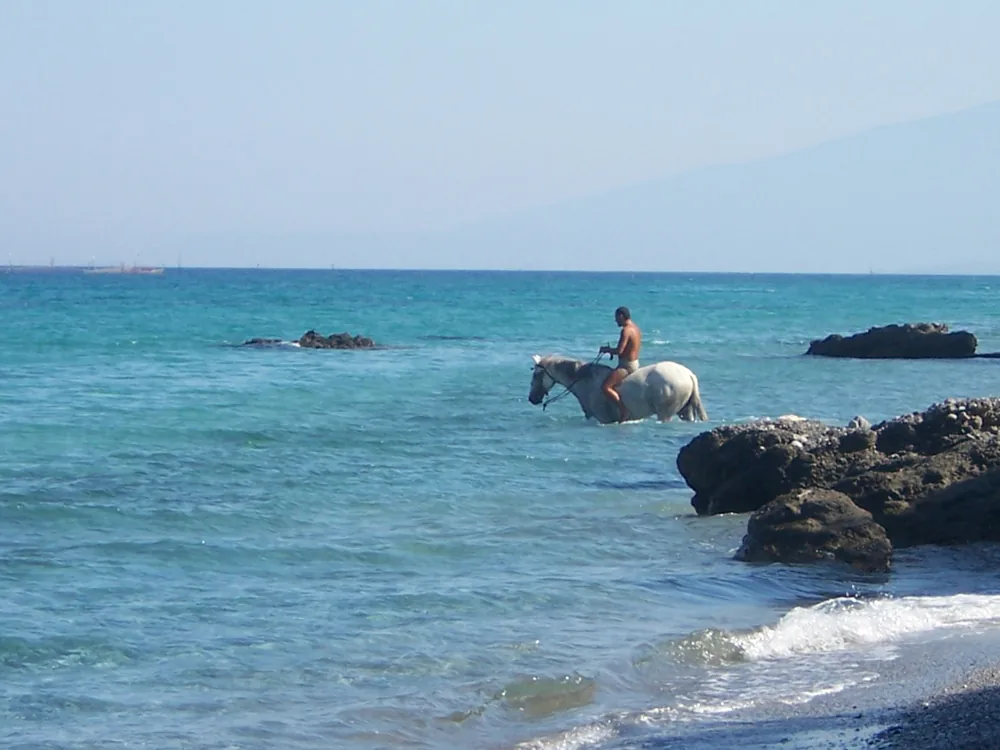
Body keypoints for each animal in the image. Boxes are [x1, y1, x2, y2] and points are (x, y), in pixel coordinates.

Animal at [528, 354, 708, 424]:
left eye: (536, 375)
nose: (532, 399)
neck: (586, 381)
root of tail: (688, 374)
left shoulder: (602, 419)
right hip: (685, 410)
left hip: (665, 413)